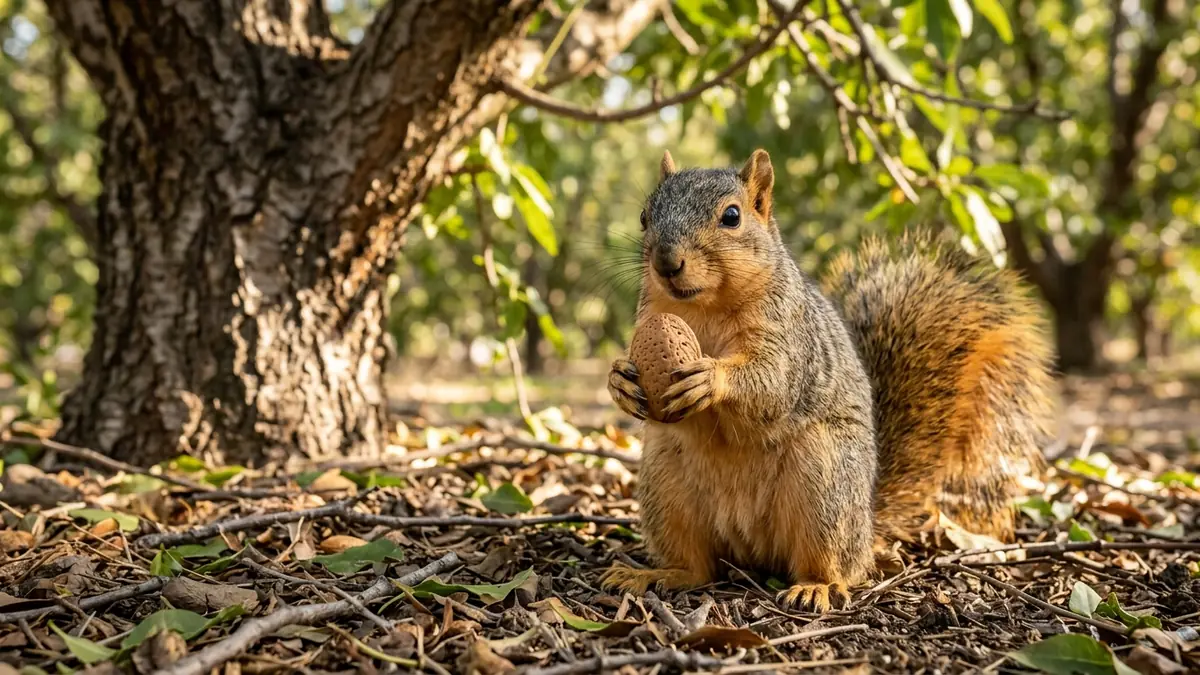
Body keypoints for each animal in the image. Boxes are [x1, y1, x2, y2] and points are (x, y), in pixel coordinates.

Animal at [600, 149, 1055, 612]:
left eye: (731, 216)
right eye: (644, 215)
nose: (666, 262)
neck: (704, 307)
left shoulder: (791, 338)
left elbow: (773, 383)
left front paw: (711, 376)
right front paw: (620, 379)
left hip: (824, 478)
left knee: (835, 565)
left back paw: (815, 586)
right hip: (664, 481)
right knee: (697, 568)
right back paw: (656, 574)